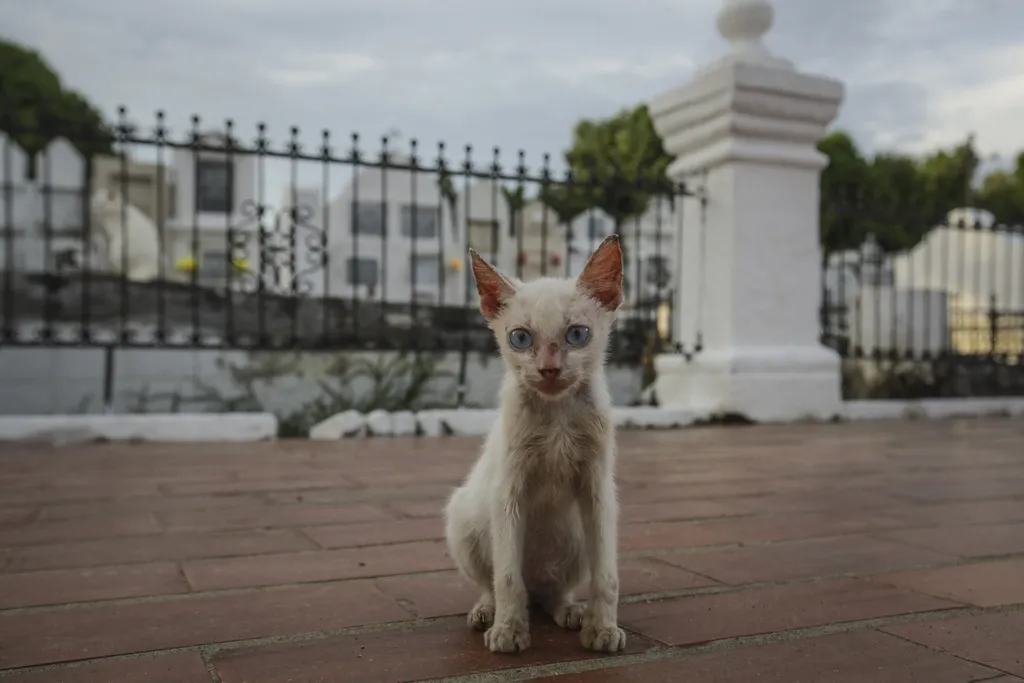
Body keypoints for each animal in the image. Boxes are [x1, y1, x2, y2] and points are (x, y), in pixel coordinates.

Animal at [444, 236, 626, 655]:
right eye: (520, 338)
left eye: (577, 334)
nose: (548, 369)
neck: (557, 414)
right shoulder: (507, 492)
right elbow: (507, 576)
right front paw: (509, 631)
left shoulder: (599, 492)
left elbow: (606, 576)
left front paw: (603, 628)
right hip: (463, 518)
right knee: (499, 583)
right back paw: (487, 612)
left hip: (576, 536)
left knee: (550, 591)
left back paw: (569, 610)